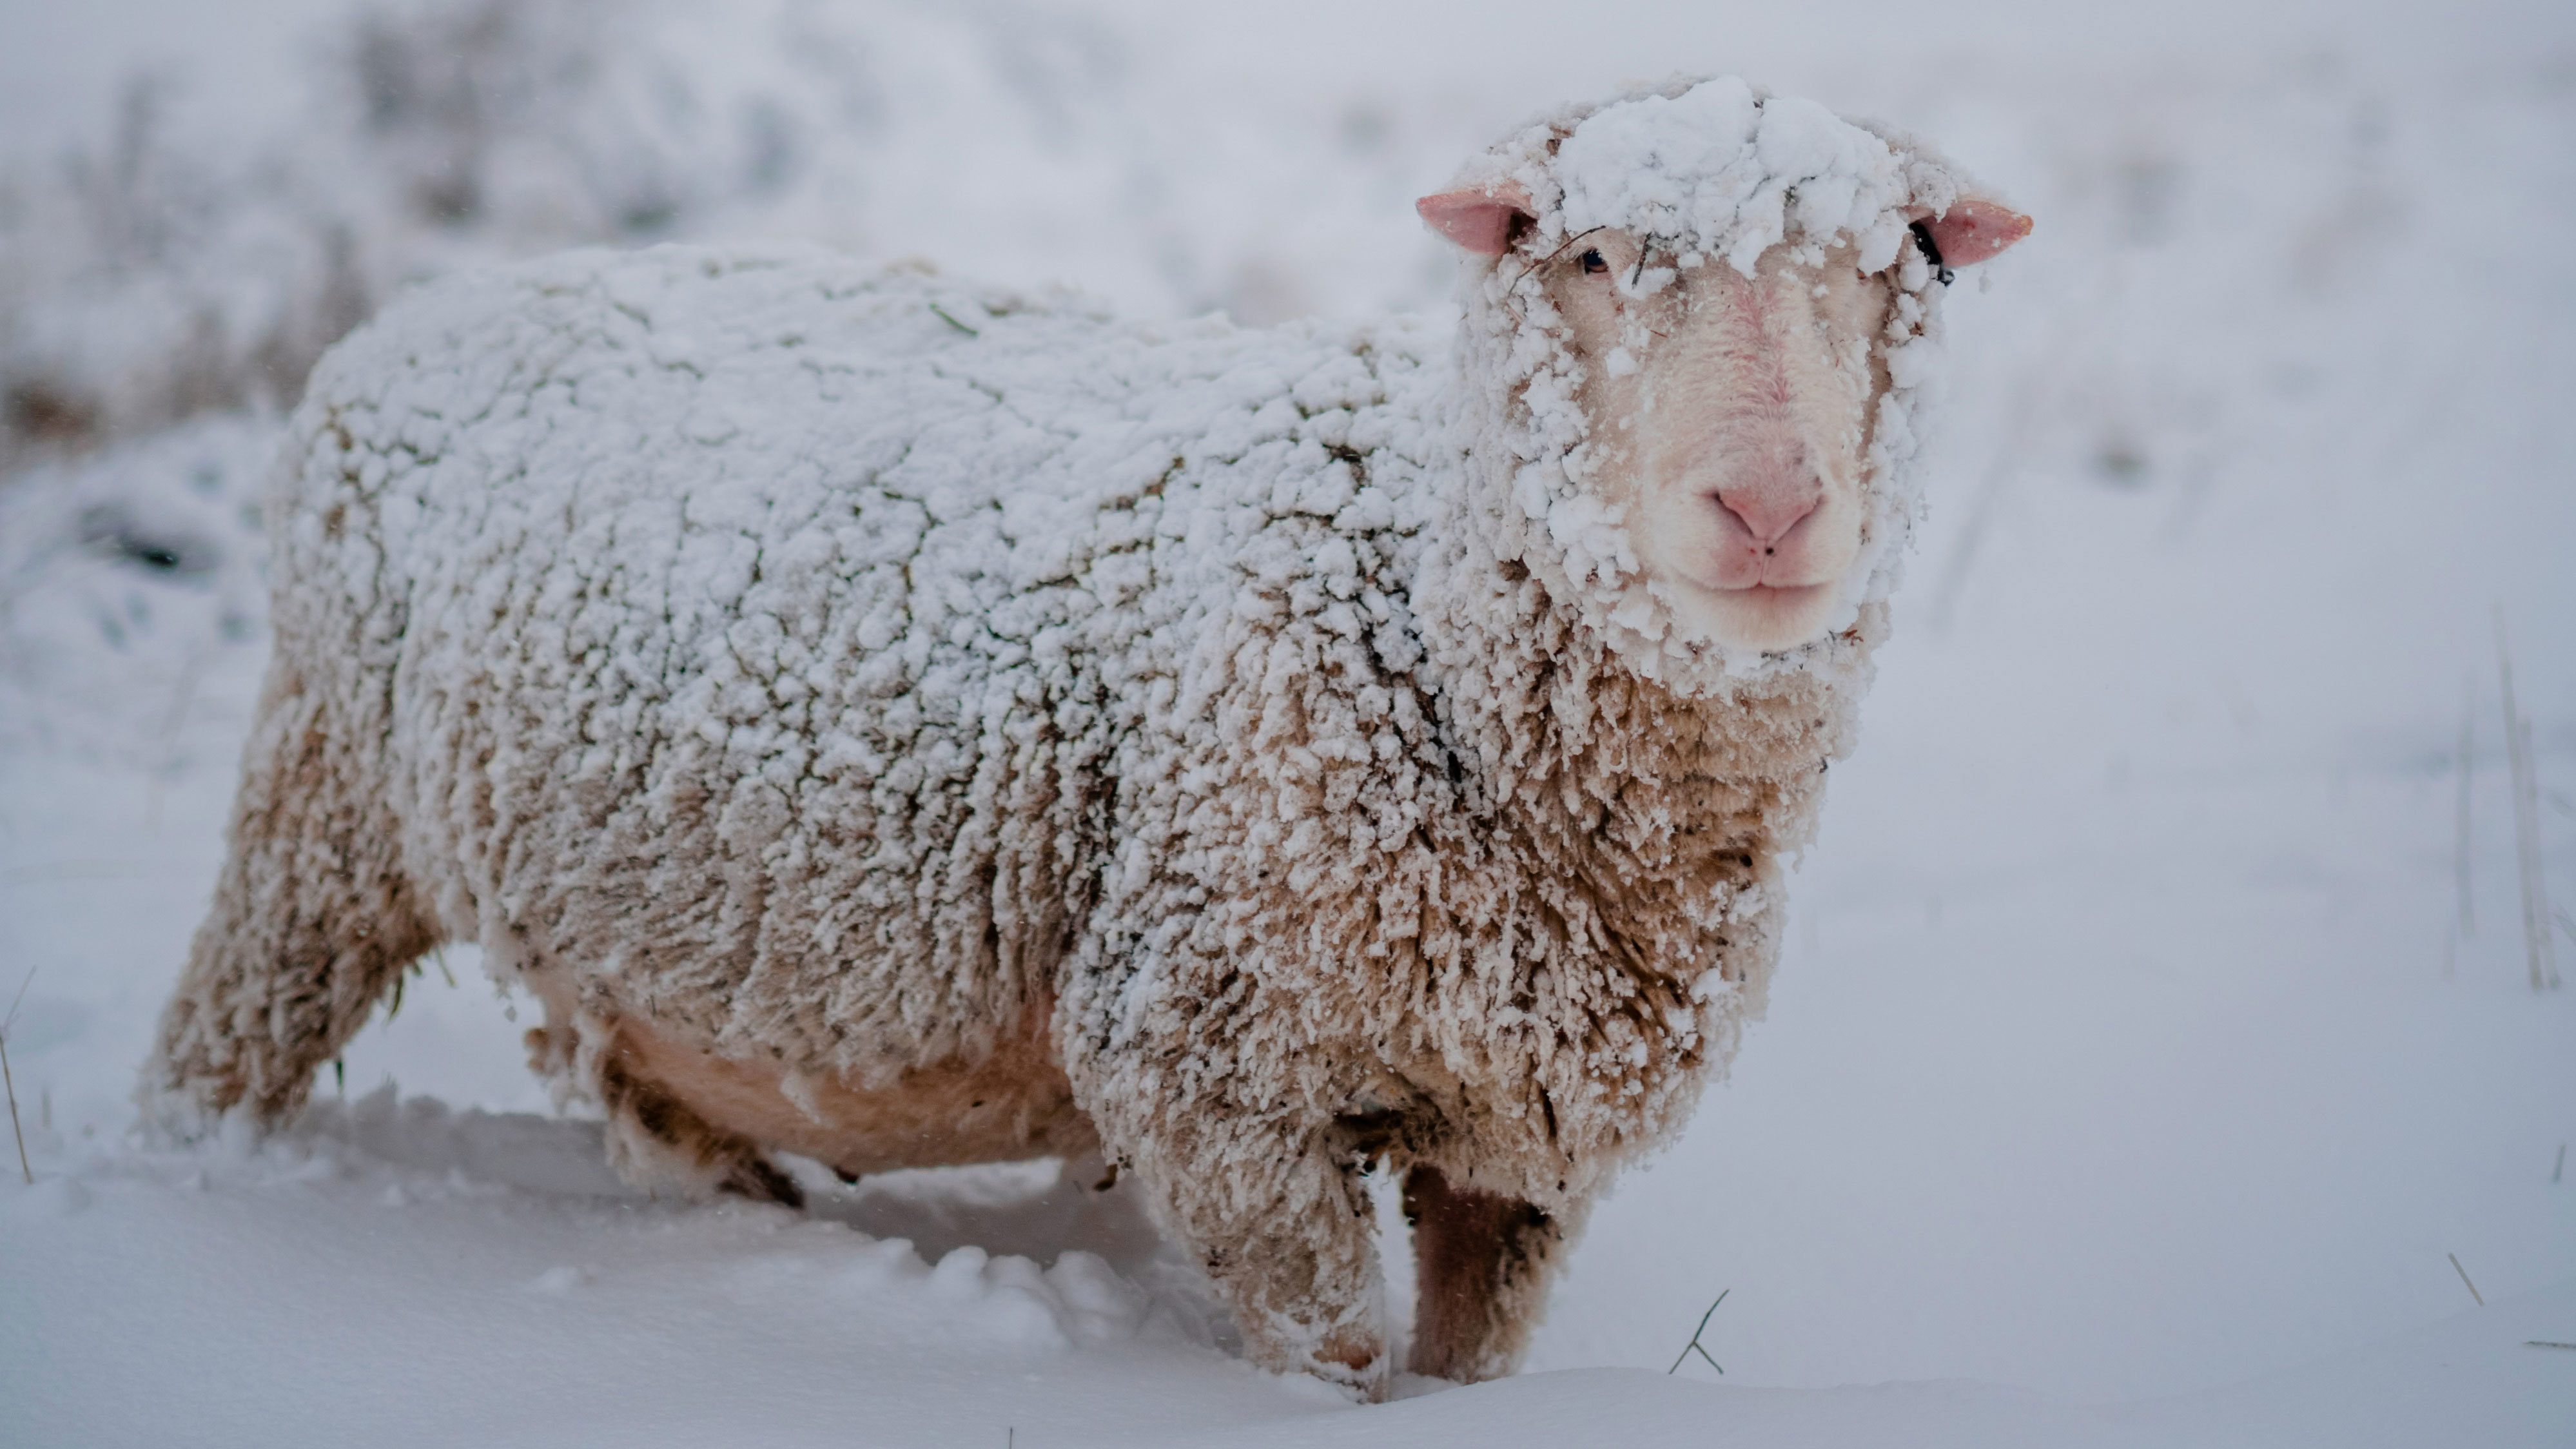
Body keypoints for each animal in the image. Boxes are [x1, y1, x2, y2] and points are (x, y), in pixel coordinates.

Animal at [146, 76, 2029, 1390]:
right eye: (1588, 256)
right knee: (218, 1046)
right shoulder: (1193, 1056)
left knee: (646, 1099)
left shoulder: (1519, 1139)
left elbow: (1468, 1358)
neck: (1422, 614)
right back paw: (195, 1190)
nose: (1769, 507)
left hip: (607, 939)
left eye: (1899, 262)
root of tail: (430, 305)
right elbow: (1341, 1355)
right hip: (320, 807)